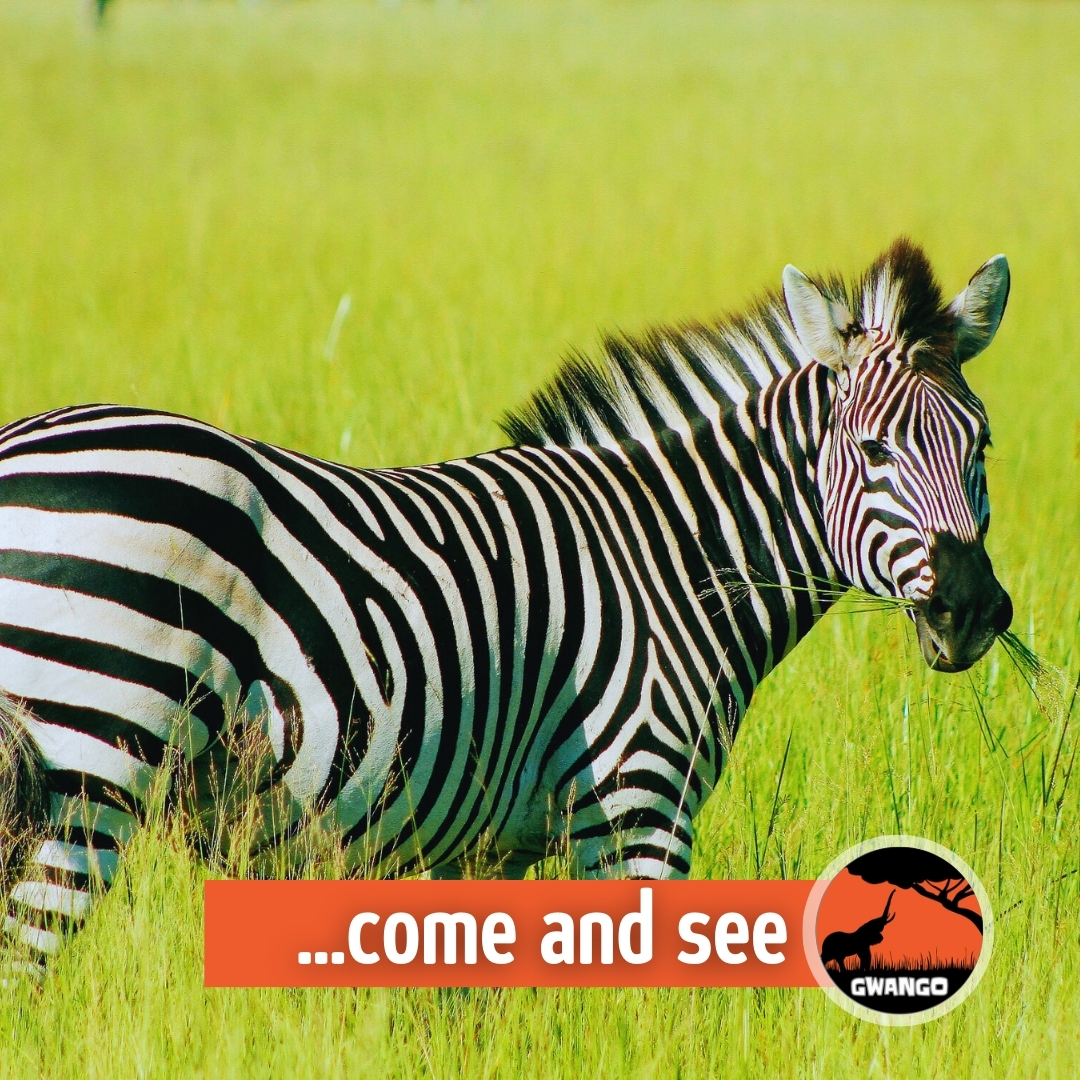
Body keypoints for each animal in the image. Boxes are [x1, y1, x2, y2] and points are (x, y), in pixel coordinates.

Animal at [0, 238, 1012, 972]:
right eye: (874, 450)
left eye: (983, 443)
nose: (971, 611)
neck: (674, 554)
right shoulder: (639, 805)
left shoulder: (487, 846)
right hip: (91, 754)